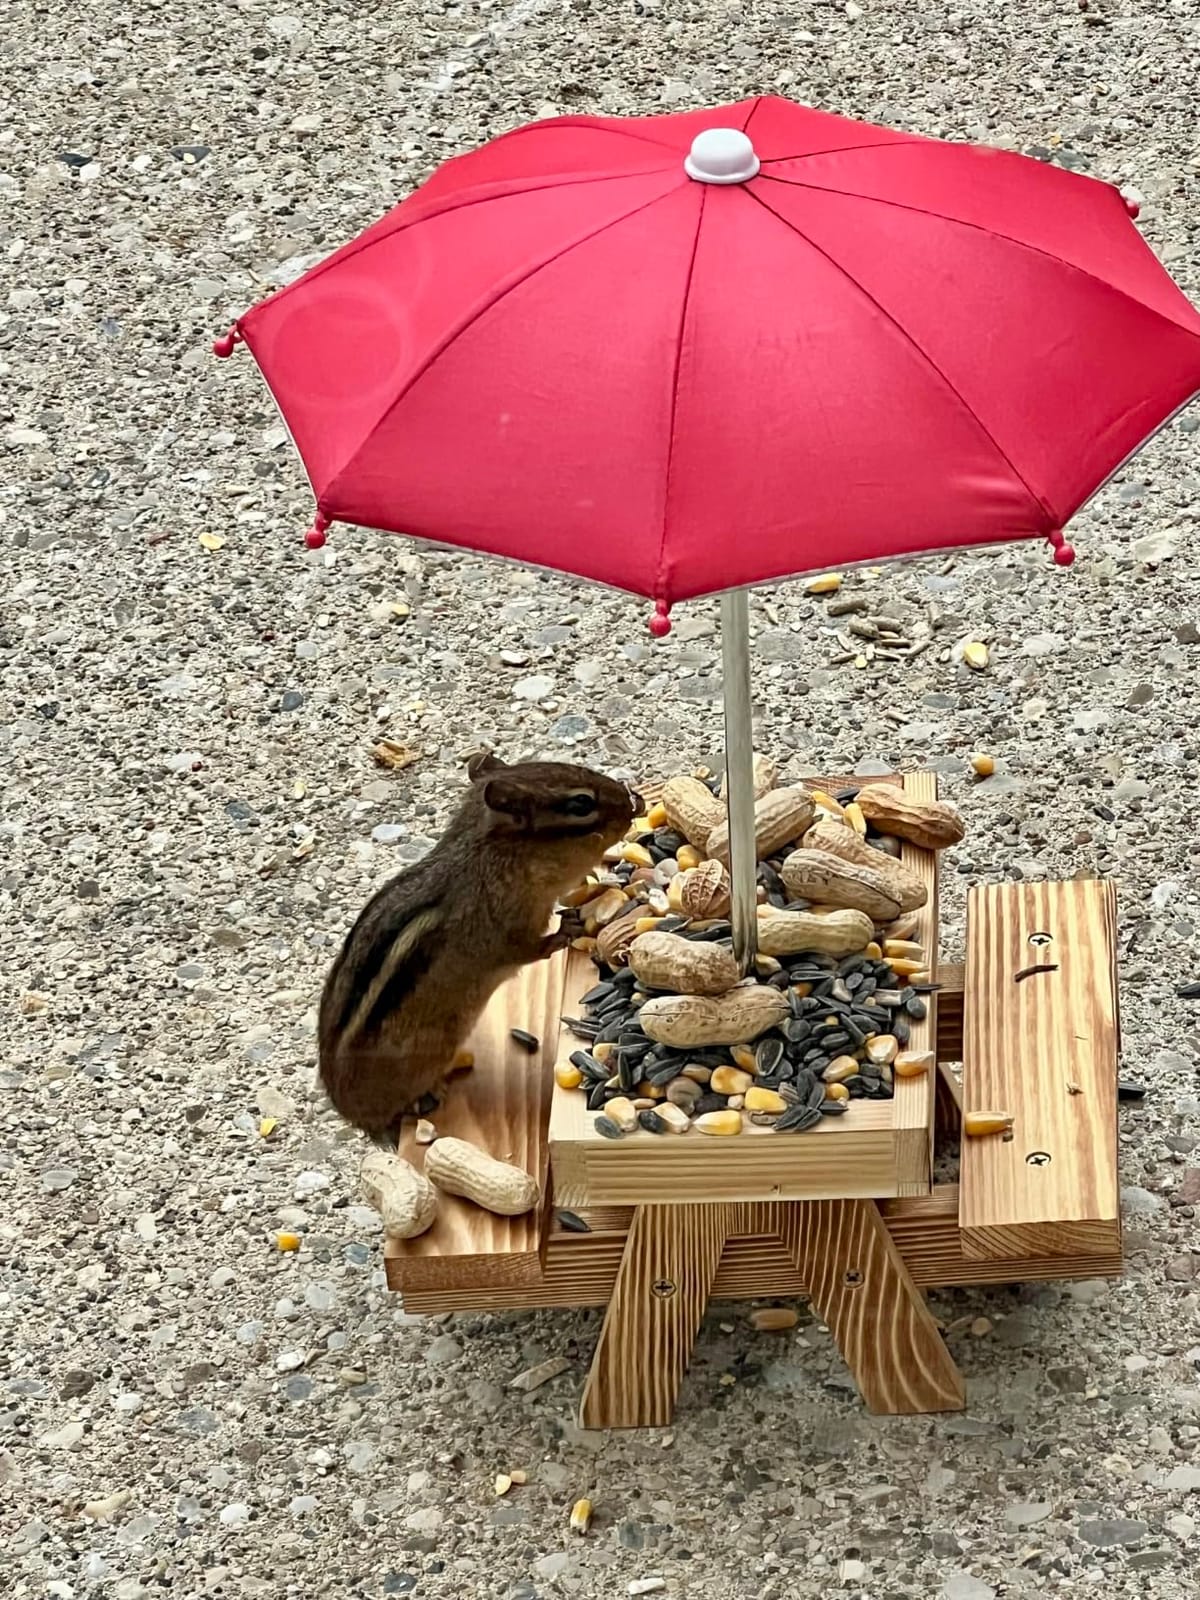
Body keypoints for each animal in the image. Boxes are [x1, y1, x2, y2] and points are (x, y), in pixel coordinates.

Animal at [317, 752, 639, 1146]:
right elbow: (530, 948)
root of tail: (355, 1116)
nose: (635, 802)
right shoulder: (504, 931)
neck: (492, 855)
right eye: (581, 803)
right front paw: (567, 928)